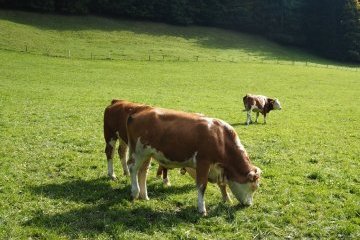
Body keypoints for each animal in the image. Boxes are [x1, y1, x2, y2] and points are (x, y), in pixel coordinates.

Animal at [126, 107, 262, 216]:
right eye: (254, 187)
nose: (249, 205)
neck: (221, 138)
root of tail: (137, 114)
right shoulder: (203, 162)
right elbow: (202, 186)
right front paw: (202, 209)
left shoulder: (218, 168)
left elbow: (222, 184)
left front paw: (227, 199)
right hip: (138, 151)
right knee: (133, 168)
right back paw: (135, 192)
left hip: (147, 154)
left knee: (143, 172)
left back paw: (144, 196)